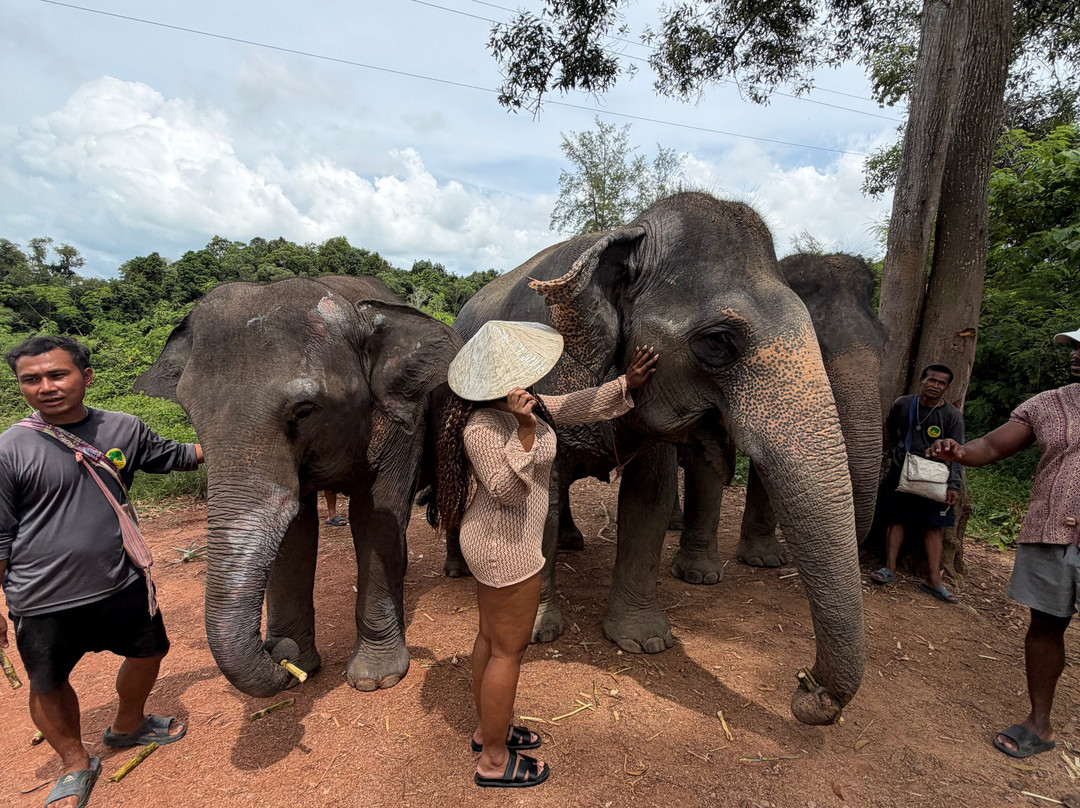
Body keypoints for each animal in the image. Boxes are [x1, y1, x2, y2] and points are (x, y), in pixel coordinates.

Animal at [135, 275, 460, 698]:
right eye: (190, 413)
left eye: (304, 411)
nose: (277, 653)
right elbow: (295, 532)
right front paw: (301, 668)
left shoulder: (403, 426)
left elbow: (375, 518)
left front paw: (376, 680)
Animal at [446, 192, 865, 725]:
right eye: (718, 341)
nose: (806, 687)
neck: (631, 233)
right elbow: (540, 494)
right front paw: (538, 632)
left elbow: (650, 498)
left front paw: (644, 642)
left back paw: (573, 544)